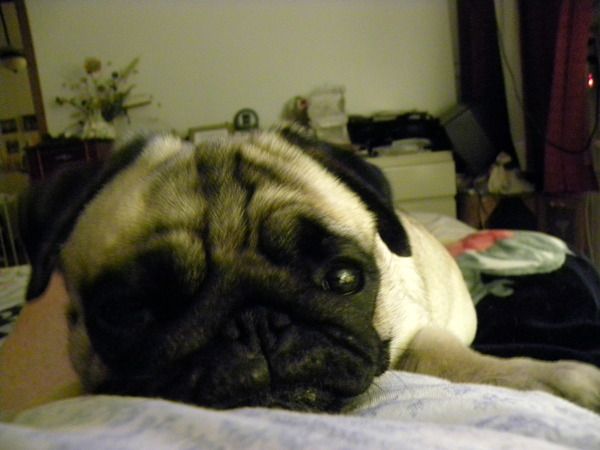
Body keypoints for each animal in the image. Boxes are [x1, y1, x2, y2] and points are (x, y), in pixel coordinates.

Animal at [19, 129, 600, 413]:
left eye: (343, 279)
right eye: (130, 311)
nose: (256, 324)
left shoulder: (420, 341)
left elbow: (486, 368)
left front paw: (562, 381)